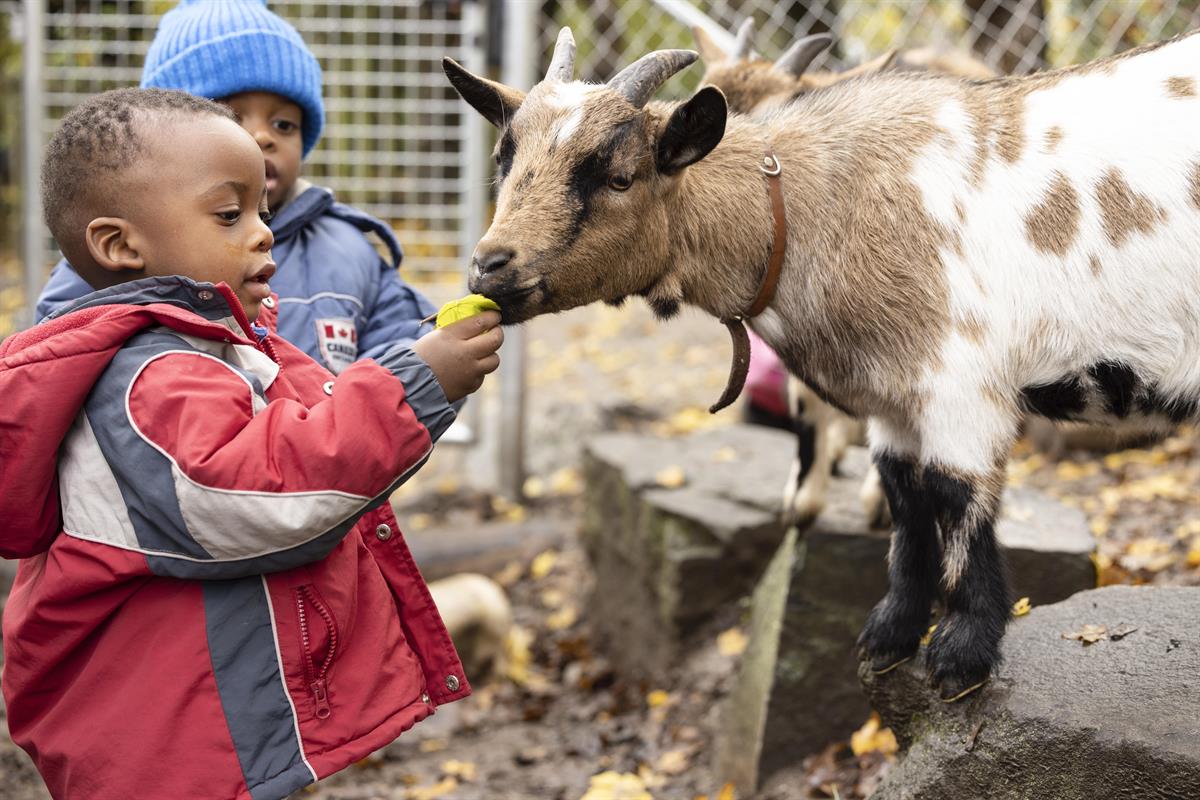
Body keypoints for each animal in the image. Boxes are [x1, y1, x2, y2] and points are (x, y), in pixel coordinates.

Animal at [446, 26, 1200, 700]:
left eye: (620, 176)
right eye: (506, 161)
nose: (490, 266)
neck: (823, 207)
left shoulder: (958, 384)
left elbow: (957, 499)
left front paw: (961, 655)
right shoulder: (892, 397)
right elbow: (905, 501)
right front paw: (889, 636)